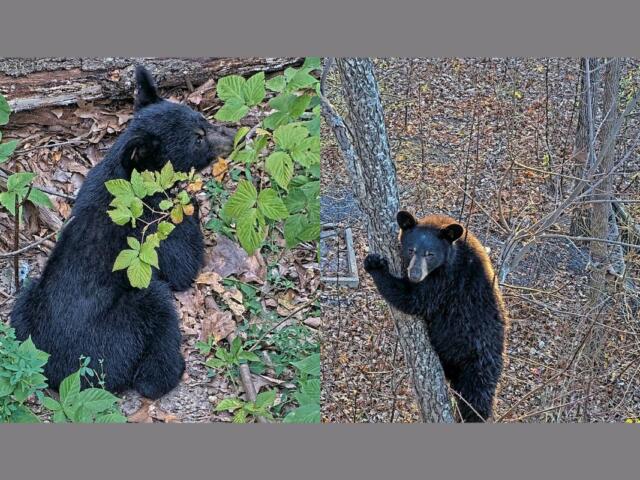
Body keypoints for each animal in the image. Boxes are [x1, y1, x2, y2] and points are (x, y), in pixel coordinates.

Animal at [10, 66, 235, 400]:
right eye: (197, 138)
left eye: (202, 120)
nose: (232, 136)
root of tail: (71, 375)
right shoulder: (152, 231)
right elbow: (181, 264)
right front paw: (191, 201)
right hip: (131, 315)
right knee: (158, 325)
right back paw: (169, 371)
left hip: (26, 311)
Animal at [363, 211, 506, 422]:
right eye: (411, 250)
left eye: (430, 254)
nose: (415, 274)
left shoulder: (445, 281)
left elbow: (414, 299)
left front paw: (375, 265)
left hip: (477, 365)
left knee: (475, 401)